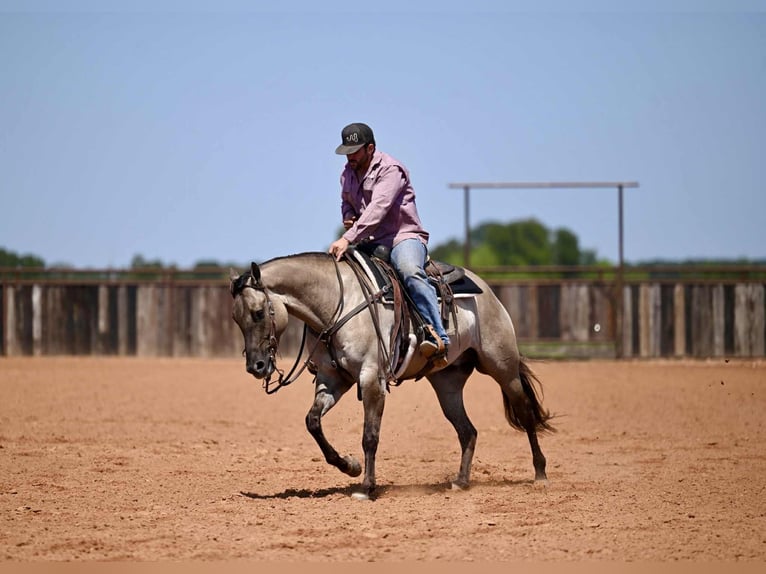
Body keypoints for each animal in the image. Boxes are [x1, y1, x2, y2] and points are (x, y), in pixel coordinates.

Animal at [229, 251, 554, 500]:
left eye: (259, 312)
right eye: (236, 318)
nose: (256, 366)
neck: (337, 303)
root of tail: (488, 292)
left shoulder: (372, 380)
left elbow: (370, 437)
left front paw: (365, 487)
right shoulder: (333, 379)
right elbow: (313, 422)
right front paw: (350, 466)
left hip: (502, 367)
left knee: (525, 413)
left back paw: (540, 474)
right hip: (448, 385)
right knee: (468, 431)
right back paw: (461, 481)